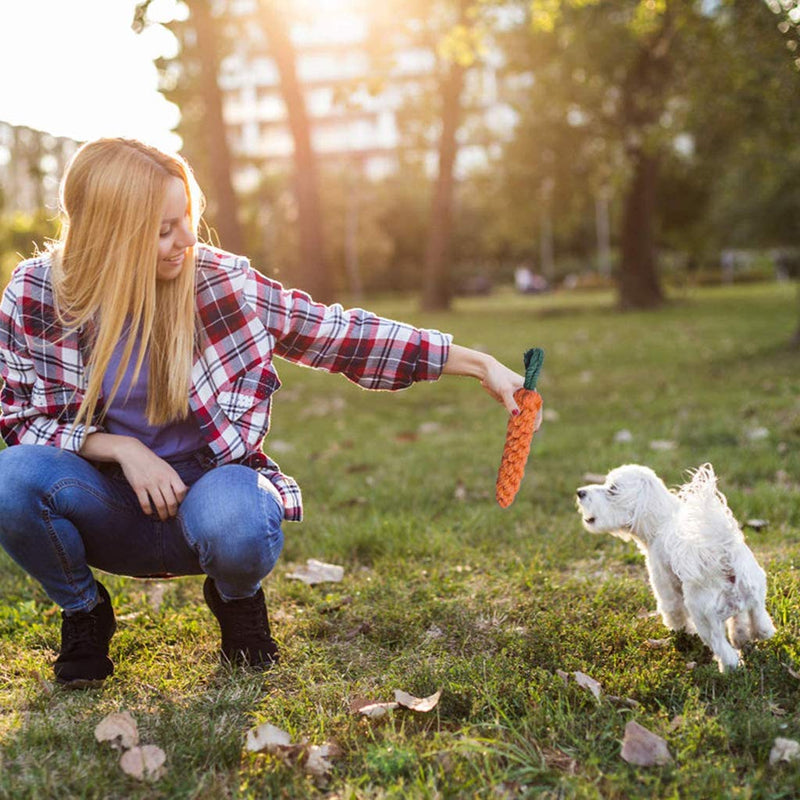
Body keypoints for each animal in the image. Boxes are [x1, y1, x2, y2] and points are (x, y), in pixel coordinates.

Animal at [576, 462, 776, 668]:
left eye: (612, 489)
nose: (580, 492)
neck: (660, 522)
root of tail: (723, 556)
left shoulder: (665, 585)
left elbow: (673, 612)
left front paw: (680, 631)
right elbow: (739, 624)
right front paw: (740, 638)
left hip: (704, 617)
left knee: (724, 652)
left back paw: (728, 667)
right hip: (755, 592)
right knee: (762, 625)